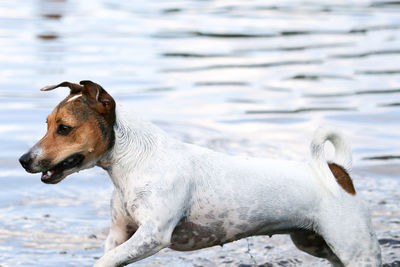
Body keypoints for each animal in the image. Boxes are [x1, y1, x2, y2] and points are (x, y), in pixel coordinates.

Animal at [18, 81, 382, 267]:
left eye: (64, 128)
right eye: (47, 125)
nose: (23, 160)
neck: (137, 160)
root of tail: (339, 173)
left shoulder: (152, 236)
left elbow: (103, 262)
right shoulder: (120, 235)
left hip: (354, 248)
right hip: (315, 243)